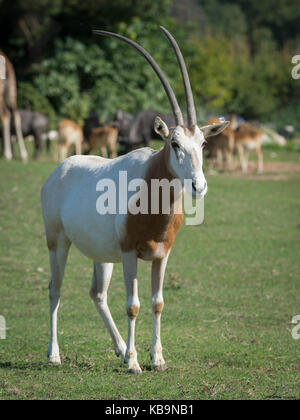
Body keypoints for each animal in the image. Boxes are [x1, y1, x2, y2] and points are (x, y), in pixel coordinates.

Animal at [40, 26, 227, 374]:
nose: (199, 185)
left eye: (202, 143)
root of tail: (59, 169)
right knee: (55, 289)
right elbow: (133, 305)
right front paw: (135, 364)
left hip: (101, 255)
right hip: (57, 242)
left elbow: (157, 303)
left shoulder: (161, 255)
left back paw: (120, 349)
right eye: (175, 143)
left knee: (97, 294)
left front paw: (157, 358)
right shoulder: (129, 254)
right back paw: (55, 354)